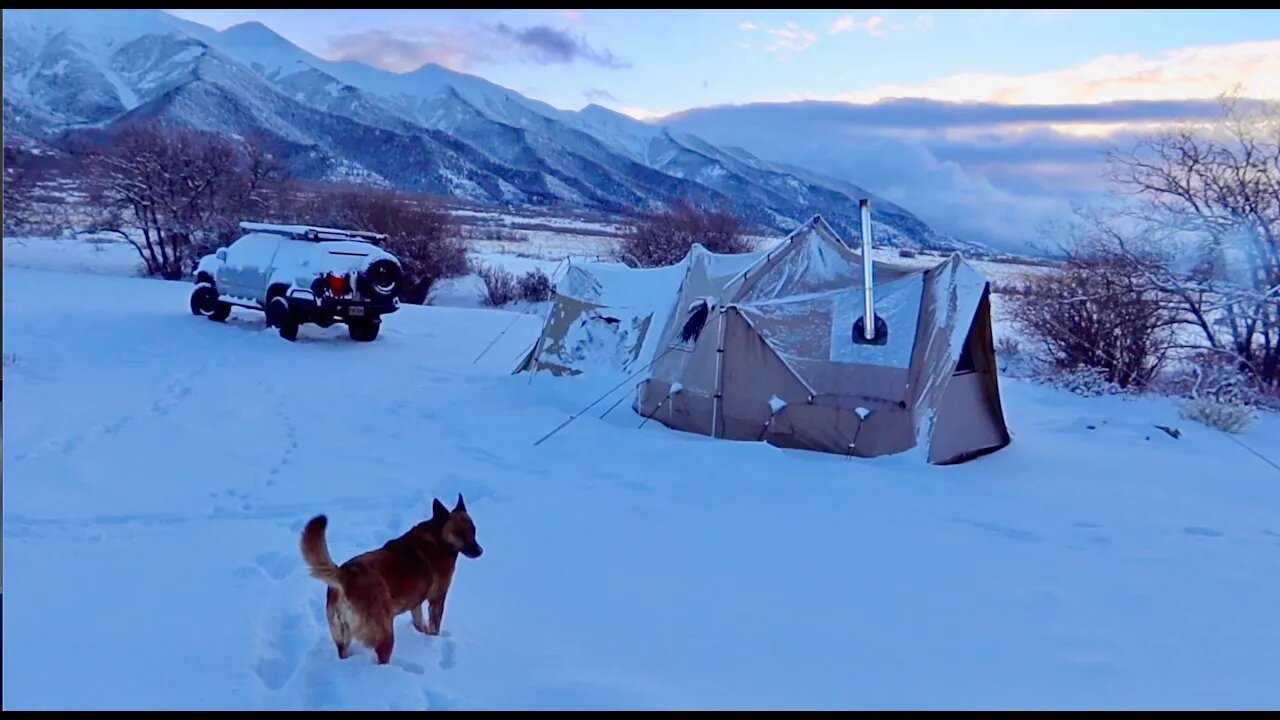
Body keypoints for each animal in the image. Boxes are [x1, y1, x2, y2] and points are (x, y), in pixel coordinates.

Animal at [296, 491, 481, 661]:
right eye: (459, 533)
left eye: (473, 531)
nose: (480, 551)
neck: (438, 537)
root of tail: (346, 575)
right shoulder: (437, 598)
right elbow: (434, 626)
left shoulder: (416, 602)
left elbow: (418, 621)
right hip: (385, 634)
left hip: (342, 636)